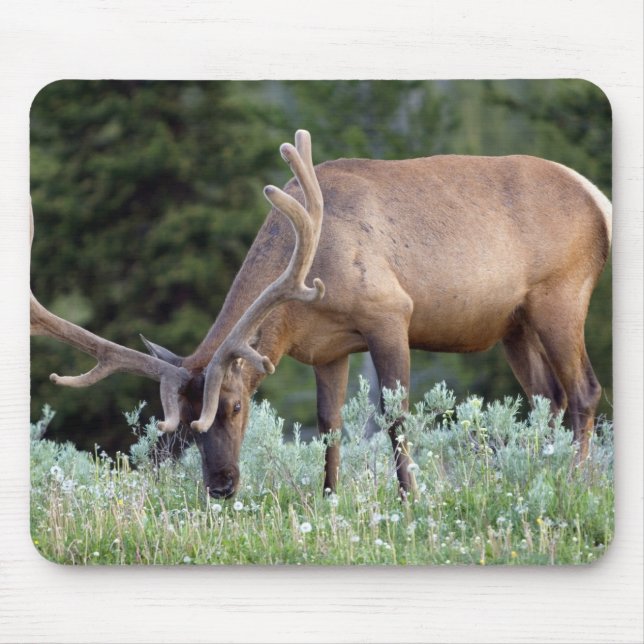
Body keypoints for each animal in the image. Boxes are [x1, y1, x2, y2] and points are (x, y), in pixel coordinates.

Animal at [31, 129, 612, 499]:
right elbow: (329, 424)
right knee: (548, 398)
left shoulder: (389, 313)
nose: (220, 486)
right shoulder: (329, 349)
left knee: (584, 391)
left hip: (561, 295)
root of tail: (598, 199)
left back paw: (573, 482)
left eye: (236, 406)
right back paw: (534, 473)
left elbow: (395, 417)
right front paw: (330, 498)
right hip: (514, 323)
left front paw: (410, 498)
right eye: (184, 427)